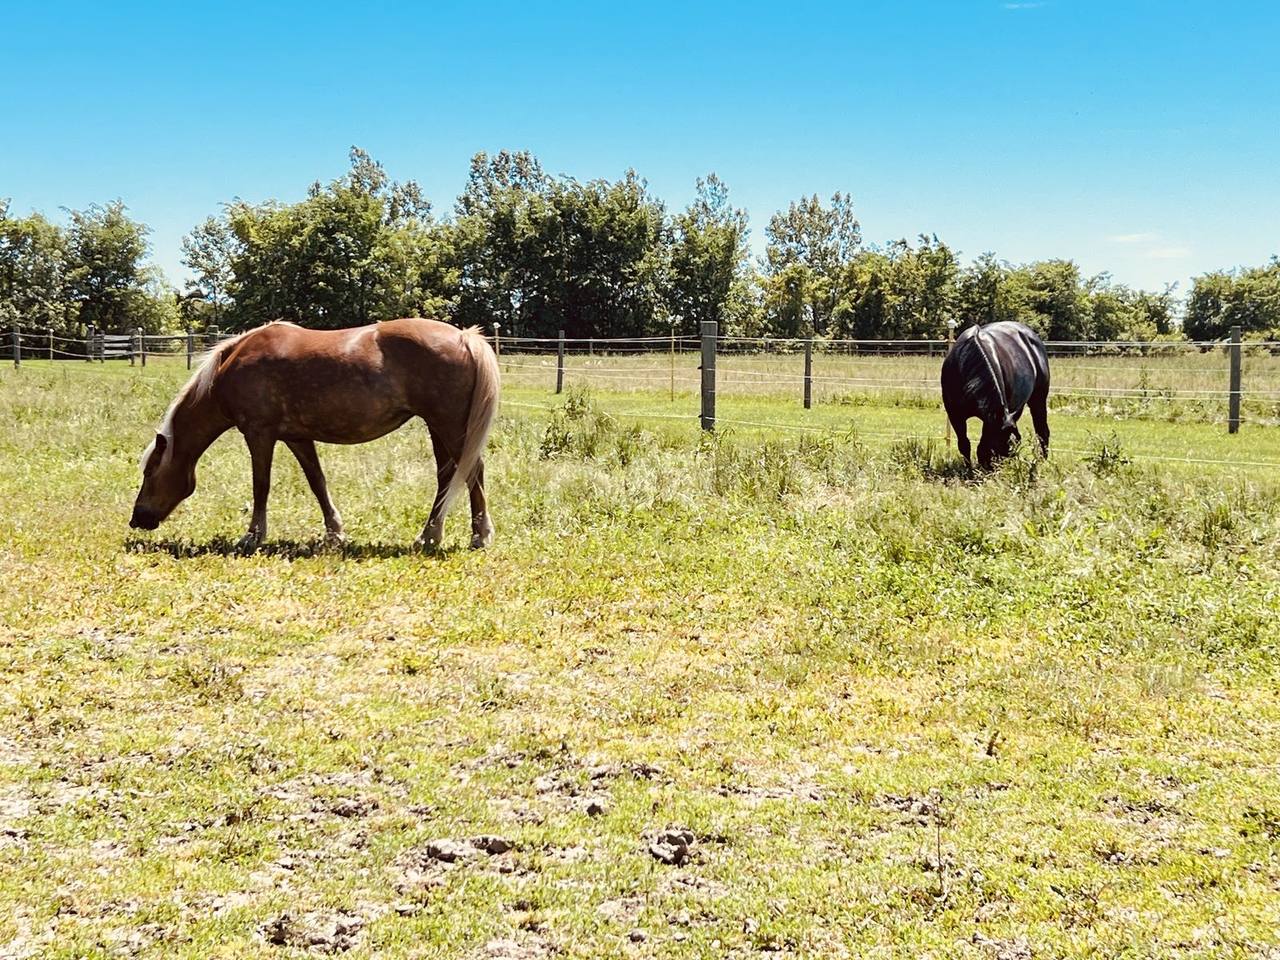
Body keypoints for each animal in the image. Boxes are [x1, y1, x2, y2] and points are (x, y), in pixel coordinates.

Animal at [130, 318, 500, 550]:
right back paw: (429, 536)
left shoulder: (259, 433)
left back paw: (480, 536)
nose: (137, 519)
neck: (232, 366)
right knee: (446, 477)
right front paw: (335, 533)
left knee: (473, 472)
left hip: (449, 425)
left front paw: (252, 536)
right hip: (438, 427)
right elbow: (317, 482)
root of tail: (465, 337)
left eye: (149, 473)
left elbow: (261, 486)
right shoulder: (297, 437)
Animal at [940, 320, 1050, 469]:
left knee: (1042, 431)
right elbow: (964, 444)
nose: (1004, 470)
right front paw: (968, 470)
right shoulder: (955, 414)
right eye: (1001, 446)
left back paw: (1042, 462)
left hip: (1038, 399)